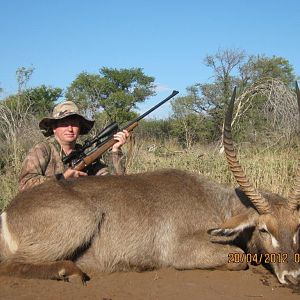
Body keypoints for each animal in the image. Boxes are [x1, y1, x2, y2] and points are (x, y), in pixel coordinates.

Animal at [0, 85, 298, 284]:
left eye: (296, 229)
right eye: (263, 229)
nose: (293, 276)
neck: (216, 203)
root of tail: (8, 211)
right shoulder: (180, 251)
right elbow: (240, 258)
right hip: (83, 218)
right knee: (11, 264)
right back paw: (69, 271)